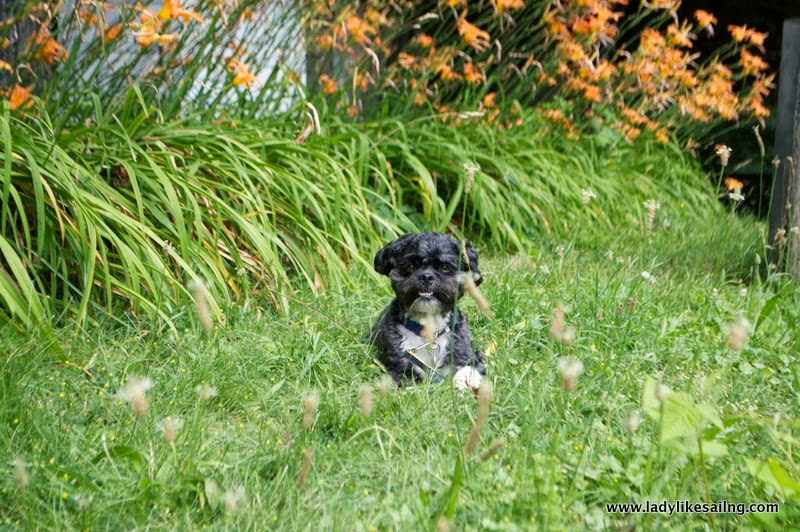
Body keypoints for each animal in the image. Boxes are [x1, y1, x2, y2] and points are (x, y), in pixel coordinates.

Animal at [368, 232, 486, 389]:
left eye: (444, 267)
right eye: (411, 266)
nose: (426, 276)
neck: (428, 330)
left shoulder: (465, 351)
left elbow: (468, 367)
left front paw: (466, 379)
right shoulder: (400, 364)